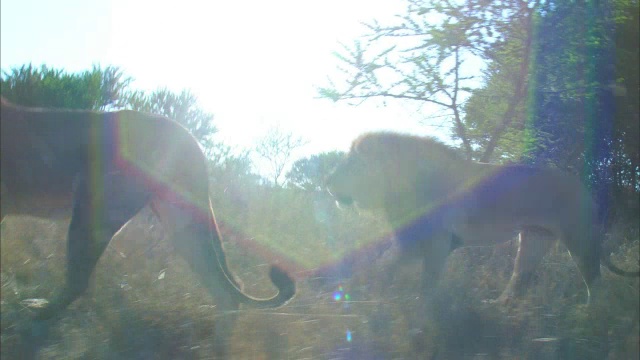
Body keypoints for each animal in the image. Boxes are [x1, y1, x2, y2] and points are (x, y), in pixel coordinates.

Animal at [0, 96, 296, 358]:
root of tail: (186, 135)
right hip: (181, 221)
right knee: (227, 287)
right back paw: (218, 350)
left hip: (95, 210)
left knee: (78, 281)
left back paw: (31, 320)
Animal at [328, 131, 636, 304]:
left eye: (350, 163)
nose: (326, 181)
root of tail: (581, 185)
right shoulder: (411, 241)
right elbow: (382, 267)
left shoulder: (436, 242)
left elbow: (425, 283)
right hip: (533, 240)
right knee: (519, 280)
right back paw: (499, 307)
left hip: (578, 240)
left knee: (595, 283)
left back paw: (589, 317)